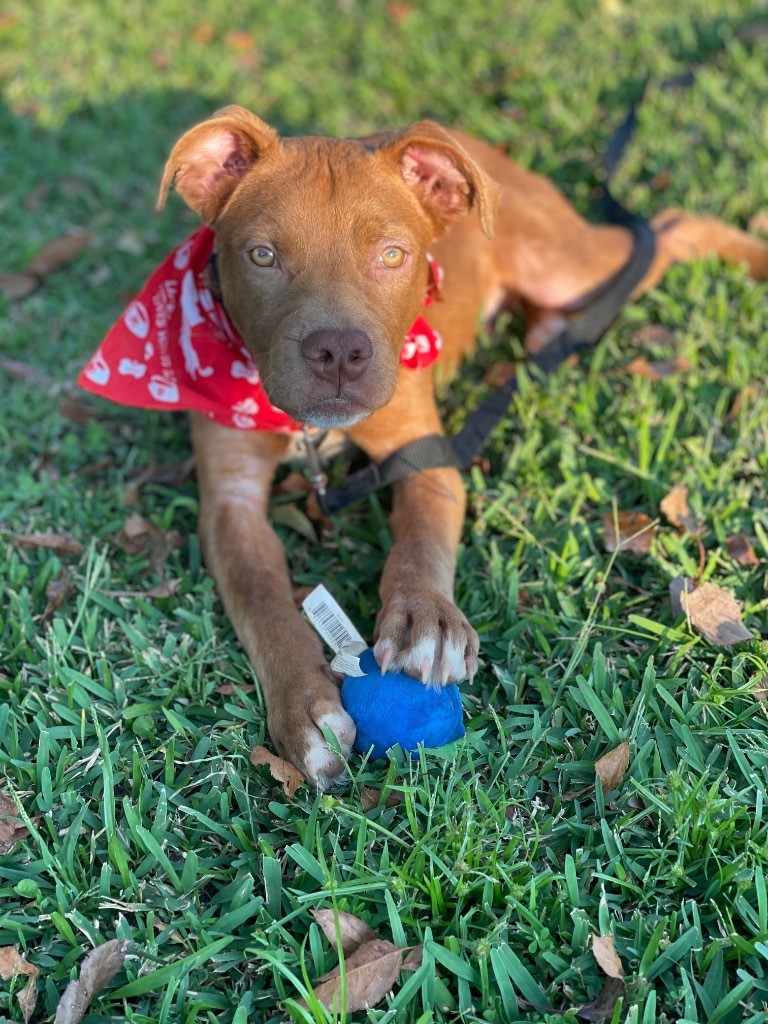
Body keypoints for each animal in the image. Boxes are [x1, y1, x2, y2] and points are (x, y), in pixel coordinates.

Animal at [151, 108, 768, 786]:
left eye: (394, 255)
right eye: (262, 256)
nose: (338, 352)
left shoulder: (427, 457)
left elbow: (419, 541)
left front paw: (427, 621)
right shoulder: (229, 503)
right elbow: (260, 596)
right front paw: (305, 709)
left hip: (561, 261)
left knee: (670, 229)